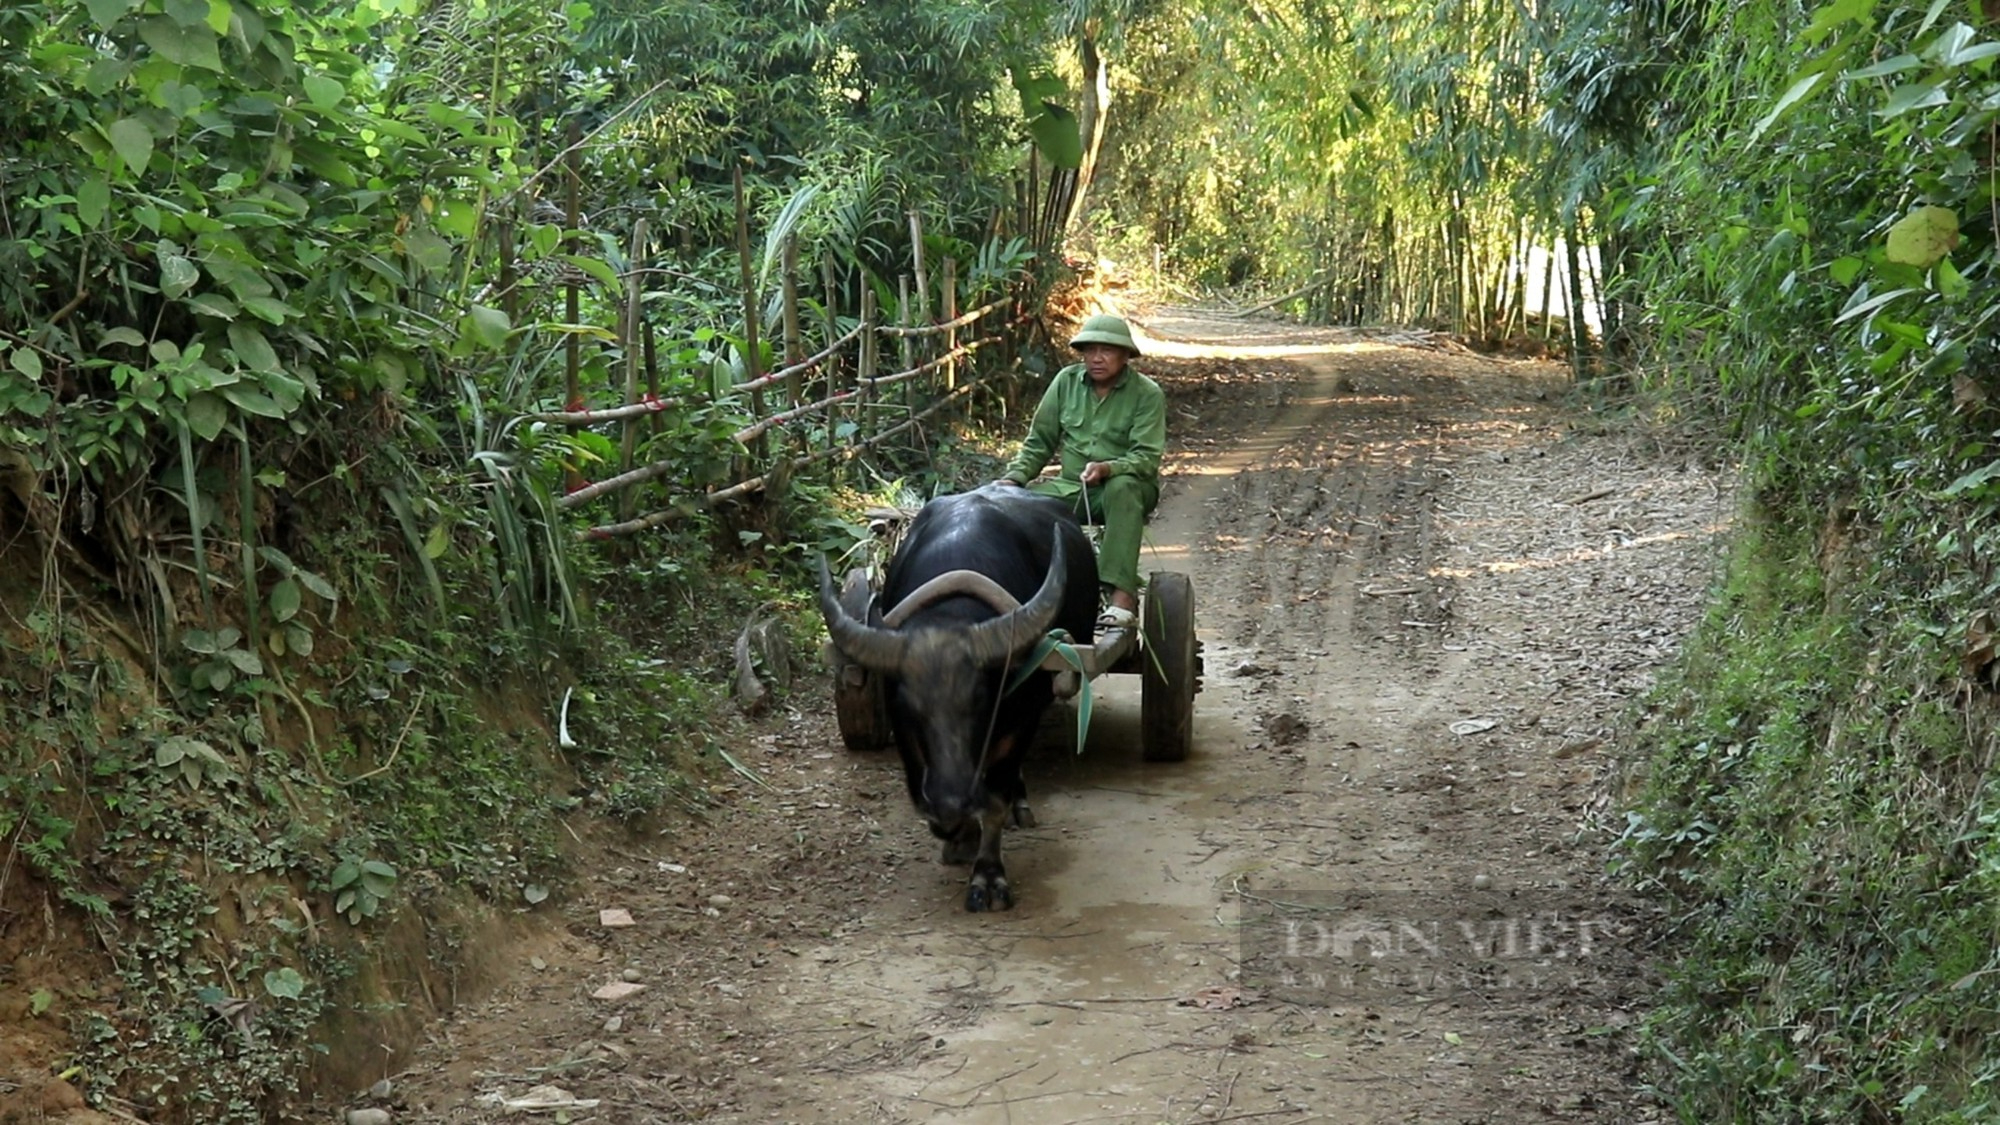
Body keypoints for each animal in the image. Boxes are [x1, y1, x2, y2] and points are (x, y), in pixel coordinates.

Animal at [816, 484, 1096, 912]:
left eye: (982, 701)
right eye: (907, 709)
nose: (951, 800)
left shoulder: (1022, 718)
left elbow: (995, 799)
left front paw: (988, 876)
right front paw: (959, 838)